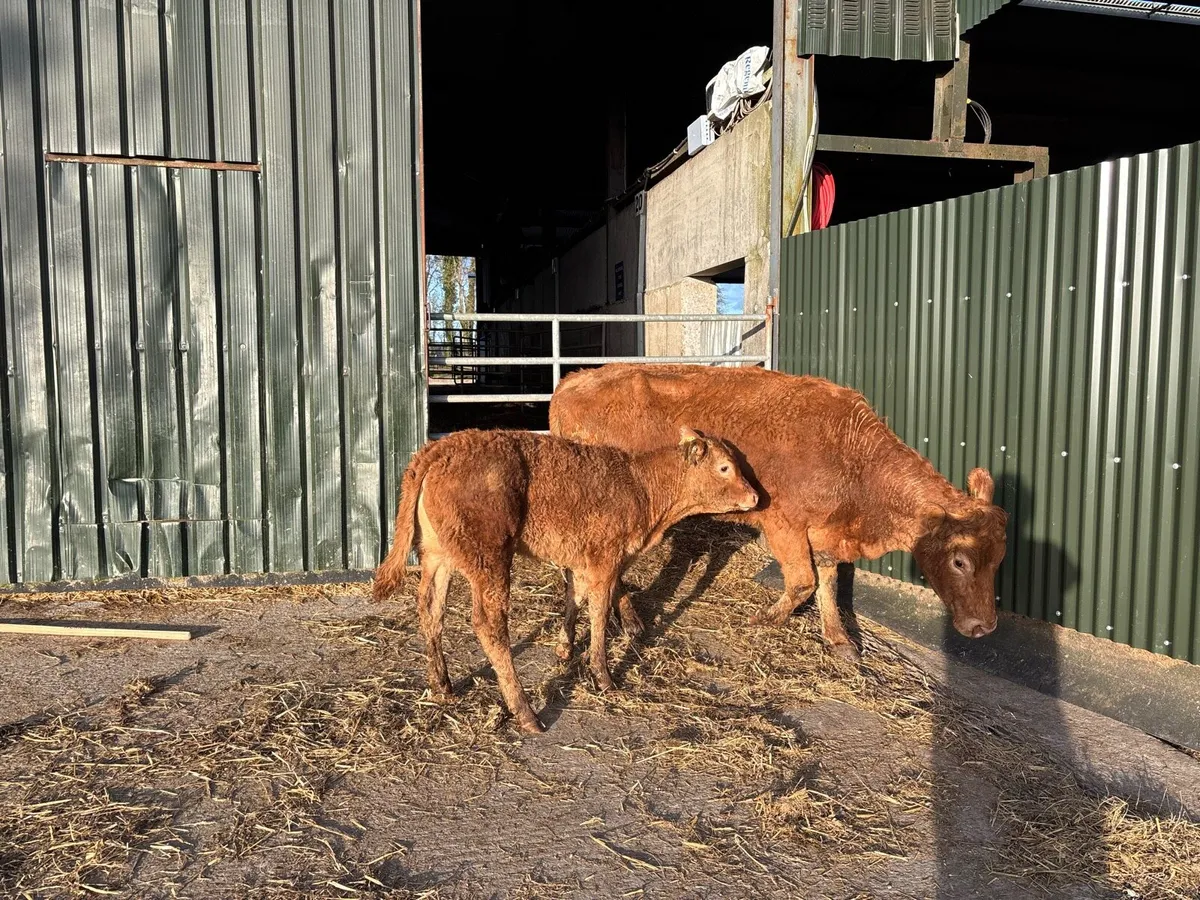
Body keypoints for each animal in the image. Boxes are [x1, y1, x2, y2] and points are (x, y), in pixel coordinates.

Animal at [372, 426, 759, 734]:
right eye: (725, 467)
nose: (756, 496)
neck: (641, 486)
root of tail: (440, 448)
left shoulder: (579, 560)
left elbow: (575, 597)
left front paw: (564, 647)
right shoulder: (605, 561)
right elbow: (599, 614)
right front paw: (603, 676)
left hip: (437, 555)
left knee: (431, 611)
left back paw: (442, 685)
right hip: (490, 558)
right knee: (489, 624)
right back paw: (526, 713)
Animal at [549, 364, 1008, 663]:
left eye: (999, 559)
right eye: (960, 560)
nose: (985, 627)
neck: (852, 456)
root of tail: (572, 380)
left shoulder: (825, 534)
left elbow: (827, 582)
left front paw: (839, 640)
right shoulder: (784, 525)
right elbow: (804, 582)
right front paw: (766, 618)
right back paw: (629, 619)